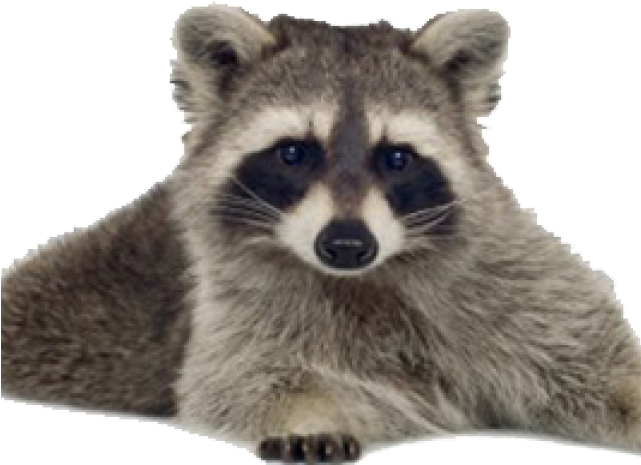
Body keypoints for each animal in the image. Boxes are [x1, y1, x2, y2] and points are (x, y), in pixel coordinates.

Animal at [2, 4, 640, 463]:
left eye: (396, 159)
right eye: (294, 154)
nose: (347, 244)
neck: (374, 274)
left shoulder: (509, 275)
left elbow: (589, 357)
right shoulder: (230, 298)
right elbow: (241, 378)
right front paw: (306, 413)